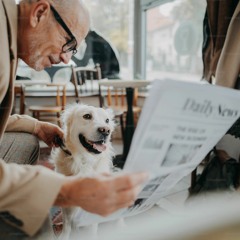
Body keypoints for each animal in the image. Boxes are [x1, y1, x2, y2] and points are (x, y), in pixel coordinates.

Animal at [51, 104, 115, 239]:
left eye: (107, 120)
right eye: (87, 116)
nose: (105, 130)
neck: (84, 161)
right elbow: (67, 223)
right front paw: (64, 235)